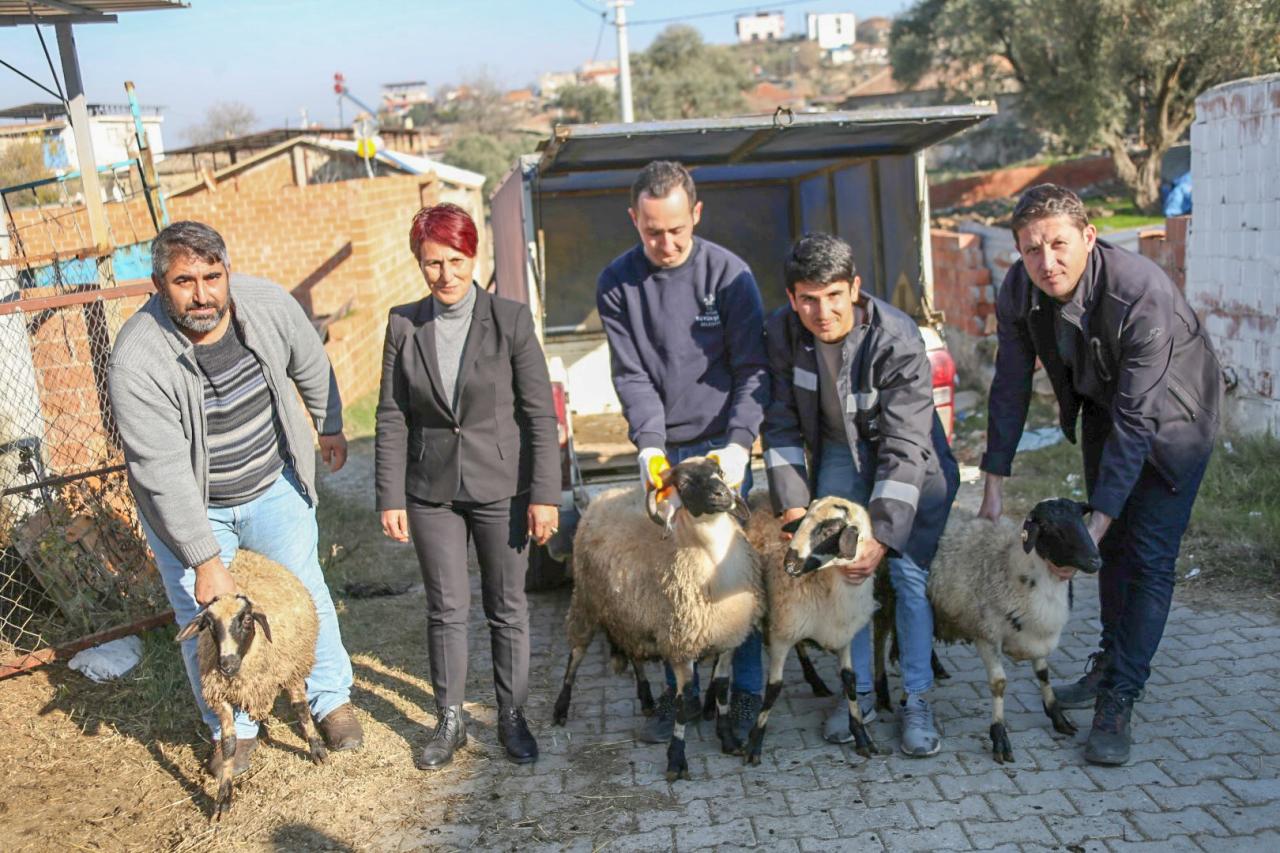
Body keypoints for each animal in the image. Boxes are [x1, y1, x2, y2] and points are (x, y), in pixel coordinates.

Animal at [926, 494, 1105, 758]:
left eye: (1081, 521)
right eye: (1051, 528)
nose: (1096, 561)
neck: (1008, 566)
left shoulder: (1036, 636)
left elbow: (1043, 674)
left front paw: (1058, 717)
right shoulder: (986, 636)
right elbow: (999, 684)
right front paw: (999, 736)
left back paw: (936, 667)